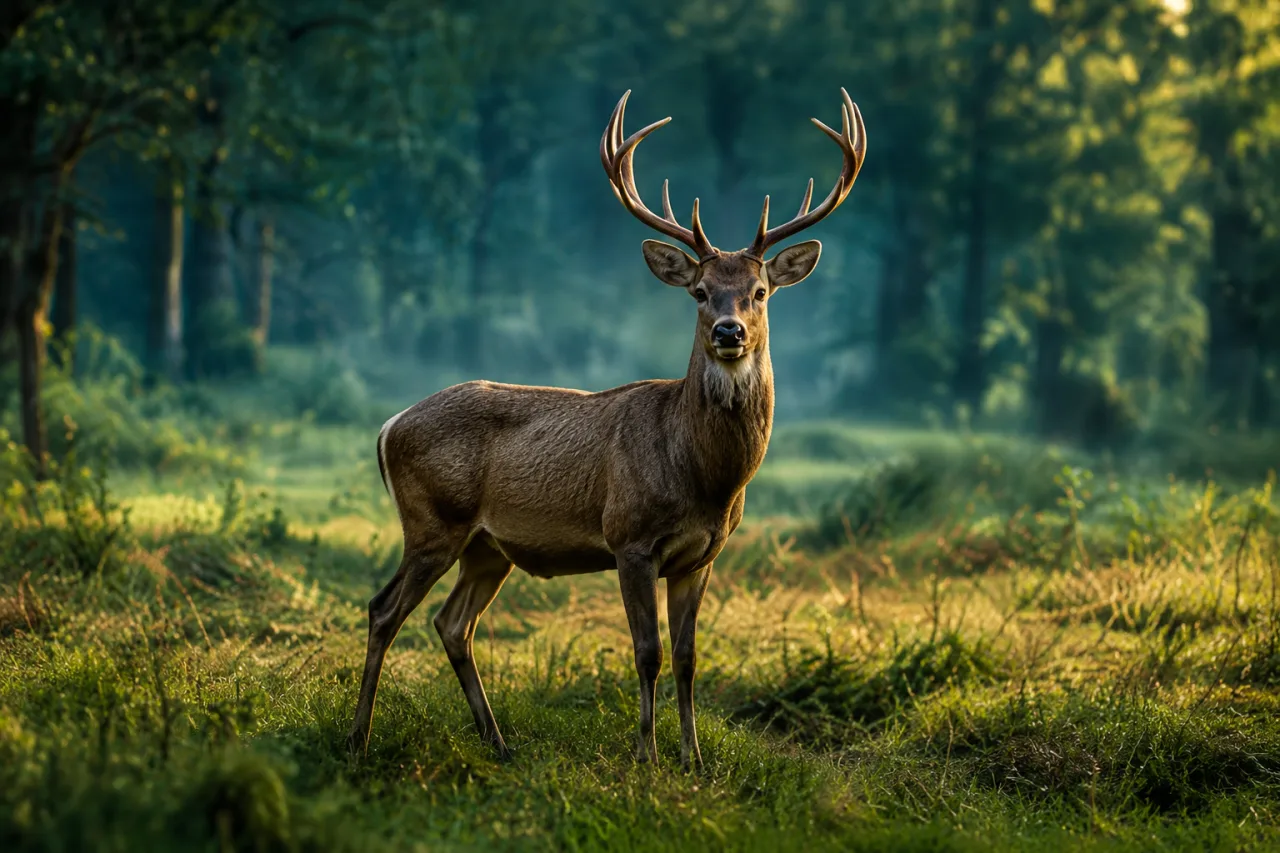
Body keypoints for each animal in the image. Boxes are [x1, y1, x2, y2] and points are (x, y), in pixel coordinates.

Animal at [347, 88, 866, 770]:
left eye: (759, 291)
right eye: (700, 291)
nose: (729, 332)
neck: (705, 478)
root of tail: (388, 427)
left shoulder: (703, 555)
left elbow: (688, 658)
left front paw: (694, 760)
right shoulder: (630, 538)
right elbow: (647, 653)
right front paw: (647, 755)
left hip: (487, 546)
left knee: (452, 623)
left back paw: (498, 742)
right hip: (433, 519)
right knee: (384, 610)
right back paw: (358, 739)